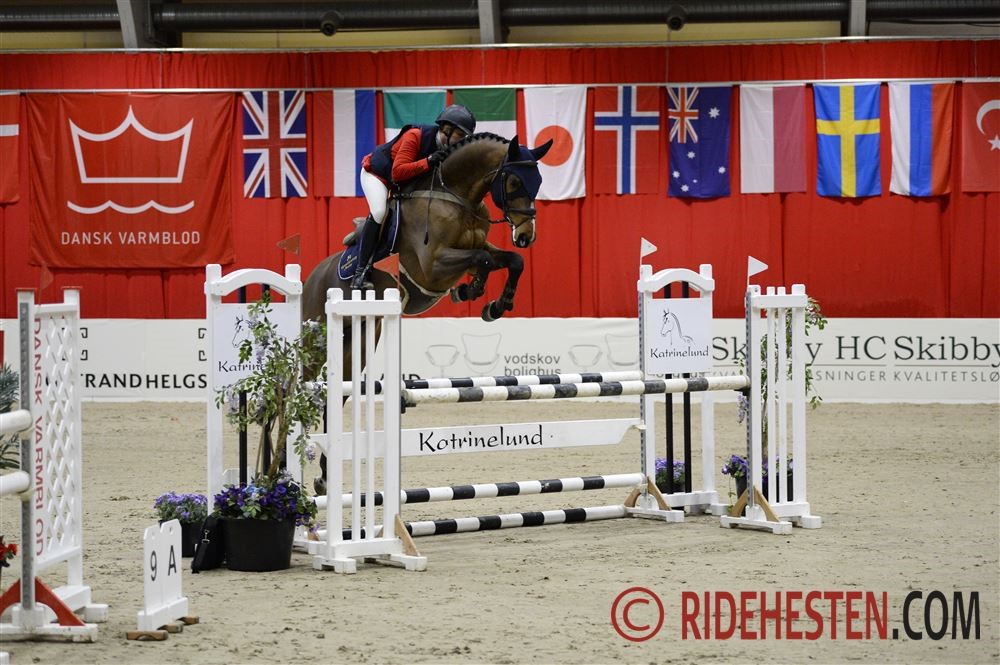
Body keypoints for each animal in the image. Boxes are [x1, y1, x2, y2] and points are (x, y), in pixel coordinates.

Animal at [301, 132, 551, 491]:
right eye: (515, 181)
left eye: (539, 181)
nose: (526, 235)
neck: (459, 197)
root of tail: (312, 276)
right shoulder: (433, 266)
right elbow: (483, 260)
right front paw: (472, 290)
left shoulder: (477, 249)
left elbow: (509, 261)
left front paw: (492, 304)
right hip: (316, 338)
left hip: (358, 343)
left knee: (335, 398)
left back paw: (323, 476)